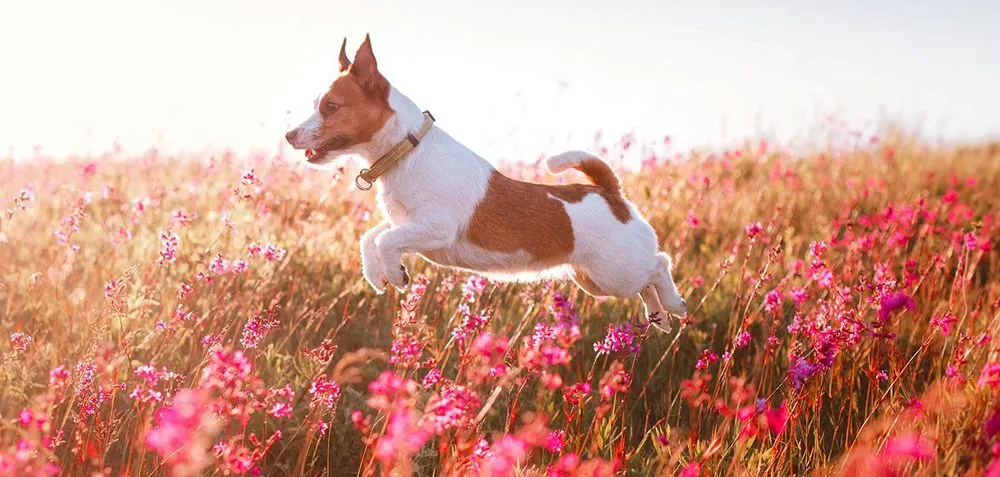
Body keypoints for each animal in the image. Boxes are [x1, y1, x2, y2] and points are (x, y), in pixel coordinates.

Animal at [284, 34, 688, 328]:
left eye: (331, 107)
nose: (288, 135)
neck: (406, 150)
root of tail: (609, 192)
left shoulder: (435, 228)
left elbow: (385, 240)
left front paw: (395, 274)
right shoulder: (406, 223)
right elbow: (371, 238)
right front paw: (377, 274)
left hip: (615, 271)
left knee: (659, 264)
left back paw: (674, 303)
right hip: (593, 280)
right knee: (648, 282)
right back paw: (658, 316)